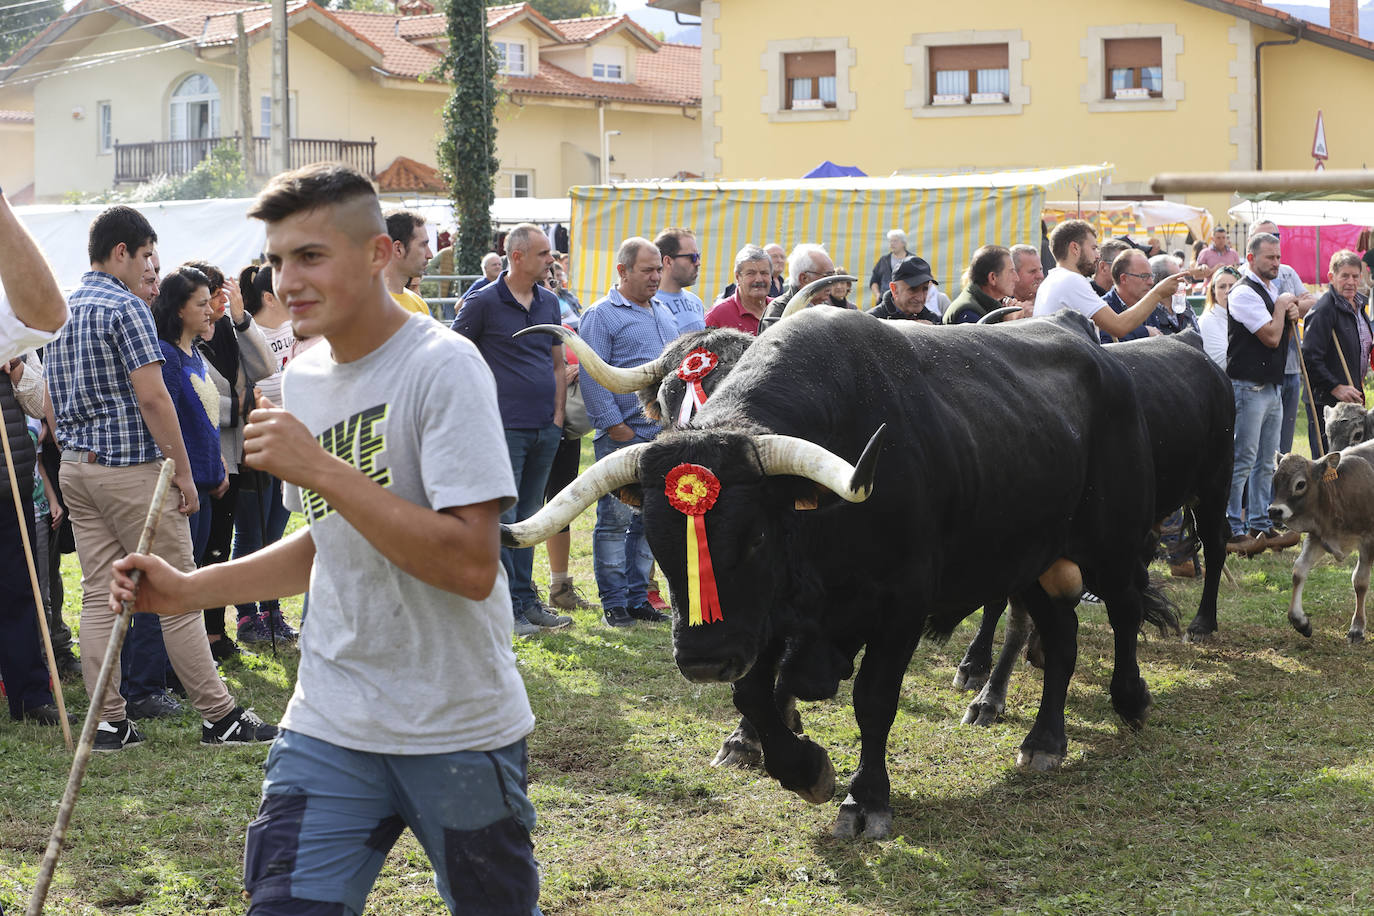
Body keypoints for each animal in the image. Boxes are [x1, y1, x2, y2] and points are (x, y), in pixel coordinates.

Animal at [508, 311, 1181, 840]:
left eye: (756, 535)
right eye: (656, 537)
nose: (702, 658)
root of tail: (1101, 356)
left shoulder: (898, 607)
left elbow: (873, 701)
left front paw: (866, 799)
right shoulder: (770, 618)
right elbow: (755, 694)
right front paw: (803, 769)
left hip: (1110, 544)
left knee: (1123, 610)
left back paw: (1129, 700)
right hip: (1032, 562)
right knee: (1059, 639)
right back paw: (1044, 741)